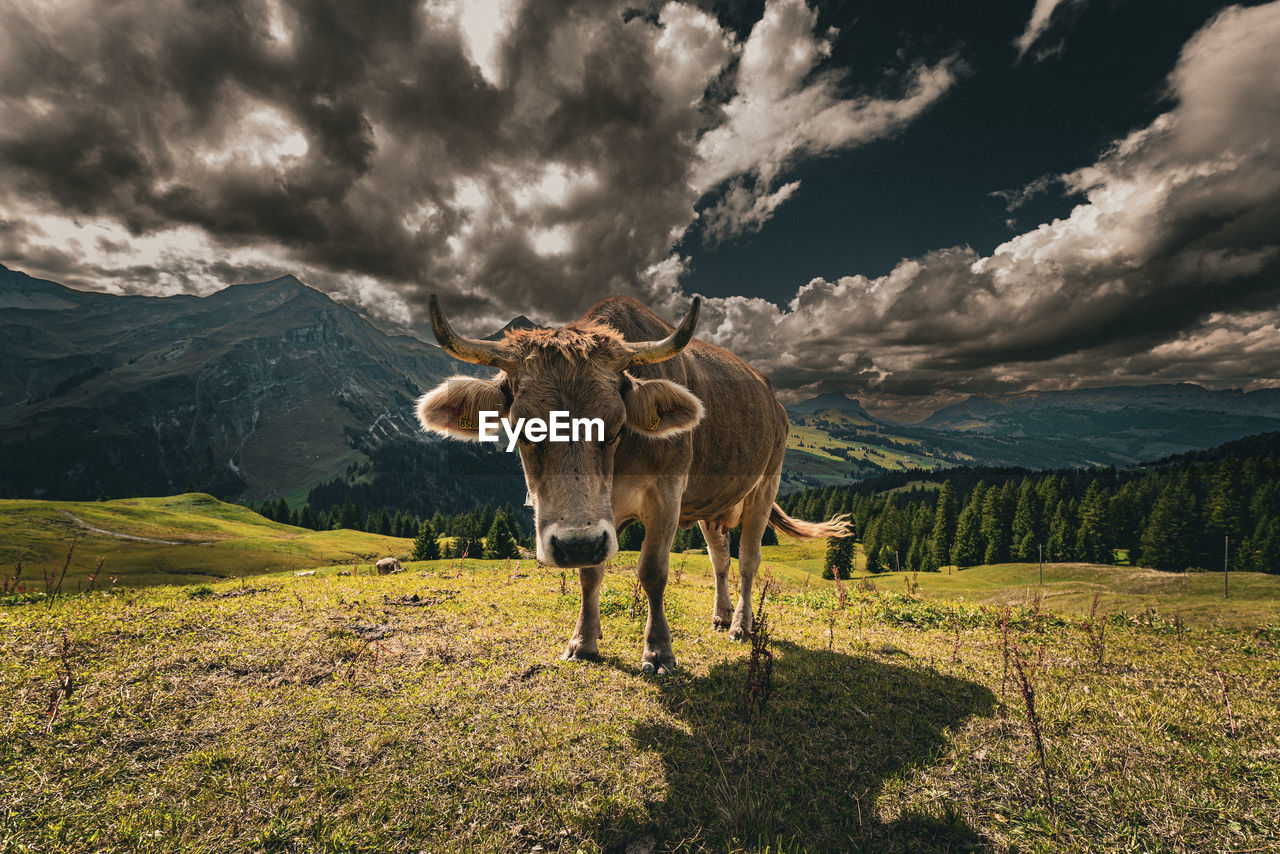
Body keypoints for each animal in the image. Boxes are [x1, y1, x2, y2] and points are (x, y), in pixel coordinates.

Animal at [417, 294, 849, 676]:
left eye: (615, 426)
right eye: (524, 429)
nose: (576, 544)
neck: (619, 467)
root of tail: (773, 398)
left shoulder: (667, 495)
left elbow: (653, 572)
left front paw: (659, 653)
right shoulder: (598, 523)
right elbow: (590, 573)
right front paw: (583, 641)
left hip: (766, 482)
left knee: (747, 560)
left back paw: (741, 625)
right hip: (712, 502)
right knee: (720, 559)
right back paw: (722, 615)